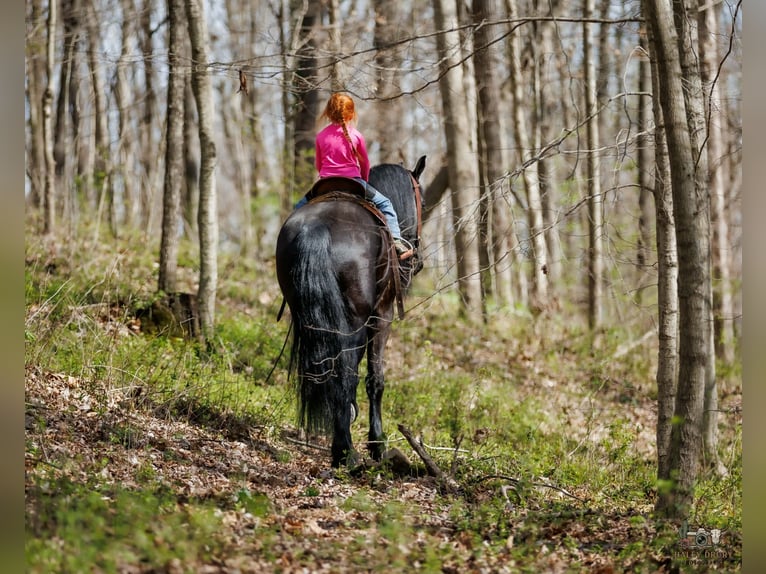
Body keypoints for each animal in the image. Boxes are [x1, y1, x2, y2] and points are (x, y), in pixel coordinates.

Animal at [275, 156, 426, 468]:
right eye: (424, 201)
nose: (416, 258)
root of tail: (316, 228)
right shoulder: (381, 316)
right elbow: (374, 378)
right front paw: (377, 443)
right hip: (356, 318)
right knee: (345, 372)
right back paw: (346, 451)